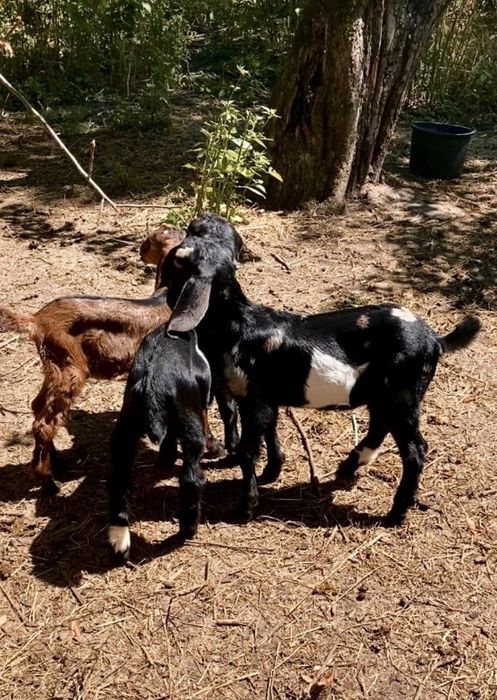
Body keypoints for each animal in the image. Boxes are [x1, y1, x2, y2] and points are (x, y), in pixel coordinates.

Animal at [0, 225, 227, 493]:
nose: (141, 251)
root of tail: (36, 321)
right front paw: (214, 447)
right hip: (70, 368)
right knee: (43, 423)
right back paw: (48, 481)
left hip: (56, 365)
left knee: (38, 406)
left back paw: (58, 462)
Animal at [107, 325, 212, 561]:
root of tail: (152, 388)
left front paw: (167, 456)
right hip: (189, 424)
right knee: (191, 477)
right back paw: (188, 529)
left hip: (126, 426)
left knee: (118, 478)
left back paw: (119, 542)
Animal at [162, 213, 481, 526]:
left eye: (181, 256)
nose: (201, 217)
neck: (238, 323)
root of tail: (435, 340)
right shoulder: (268, 397)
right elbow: (271, 431)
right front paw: (272, 473)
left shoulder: (254, 397)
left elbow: (249, 449)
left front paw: (244, 508)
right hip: (384, 394)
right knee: (379, 426)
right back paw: (347, 468)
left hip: (403, 394)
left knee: (415, 450)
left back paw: (395, 514)